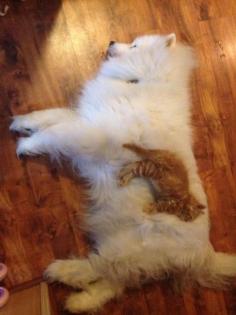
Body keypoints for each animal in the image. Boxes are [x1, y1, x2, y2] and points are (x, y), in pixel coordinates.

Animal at [9, 34, 236, 314]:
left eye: (135, 45)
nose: (111, 41)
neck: (139, 80)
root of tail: (206, 252)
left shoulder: (88, 132)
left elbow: (54, 133)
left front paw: (26, 145)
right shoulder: (85, 116)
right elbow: (51, 116)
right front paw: (22, 123)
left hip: (126, 245)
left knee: (99, 268)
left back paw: (62, 272)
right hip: (117, 237)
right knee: (113, 283)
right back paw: (78, 302)